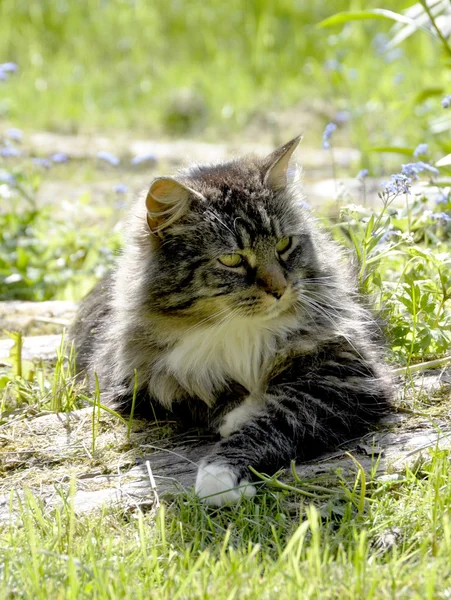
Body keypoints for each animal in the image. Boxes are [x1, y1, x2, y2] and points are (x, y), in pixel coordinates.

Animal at [70, 137, 392, 506]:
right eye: (232, 260)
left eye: (284, 244)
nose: (280, 290)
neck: (239, 329)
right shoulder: (136, 384)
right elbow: (201, 397)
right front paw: (234, 420)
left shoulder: (344, 373)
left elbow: (278, 417)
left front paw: (220, 473)